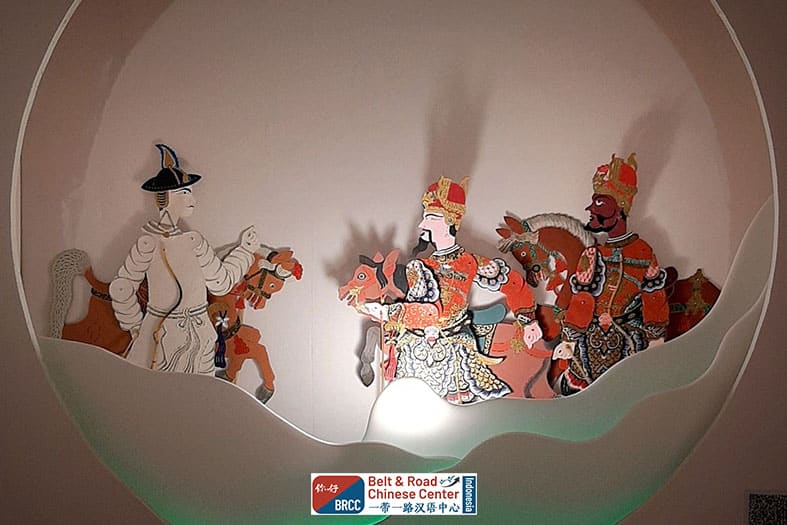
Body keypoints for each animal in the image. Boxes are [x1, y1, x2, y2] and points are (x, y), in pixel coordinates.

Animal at [49, 245, 301, 403]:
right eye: (272, 284)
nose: (259, 304)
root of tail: (99, 284)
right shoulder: (222, 340)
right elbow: (252, 349)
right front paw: (249, 383)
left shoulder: (233, 337)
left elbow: (256, 347)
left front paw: (255, 386)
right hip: (105, 335)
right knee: (72, 332)